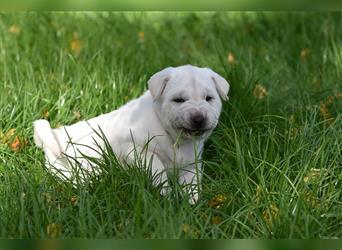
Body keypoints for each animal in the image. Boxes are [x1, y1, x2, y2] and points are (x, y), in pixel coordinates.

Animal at [34, 64, 230, 203]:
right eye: (179, 100)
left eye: (209, 98)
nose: (198, 118)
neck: (174, 137)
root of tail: (54, 136)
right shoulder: (132, 148)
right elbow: (156, 165)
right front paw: (166, 192)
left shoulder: (191, 162)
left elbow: (192, 181)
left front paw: (192, 203)